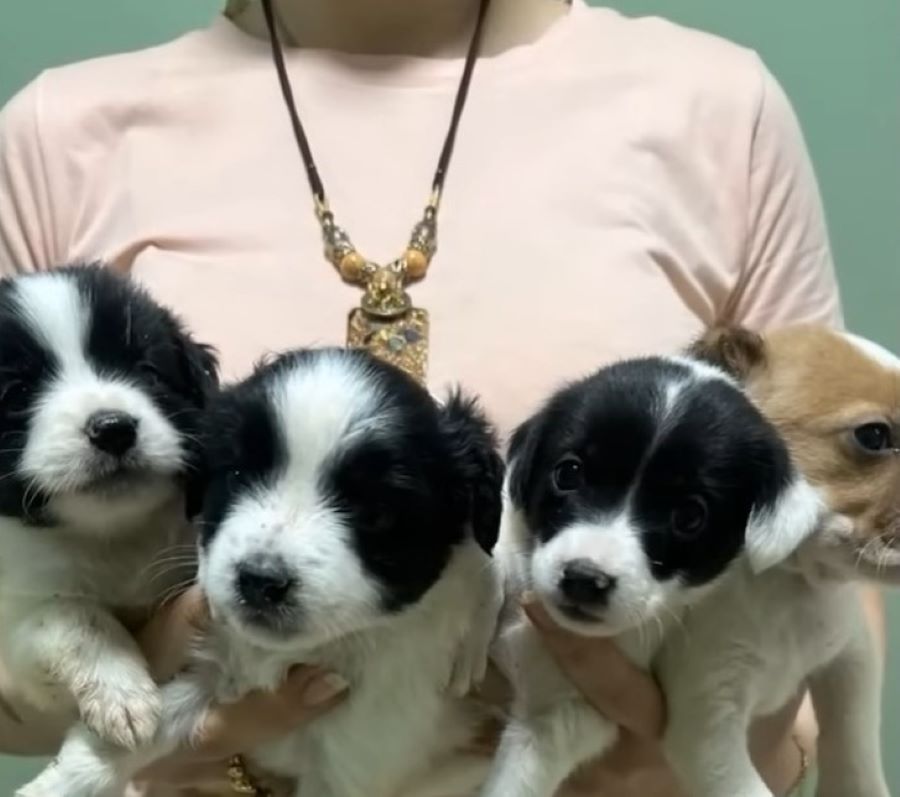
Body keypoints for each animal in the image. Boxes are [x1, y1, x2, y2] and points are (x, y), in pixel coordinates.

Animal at [0, 268, 217, 752]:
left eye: (147, 372)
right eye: (17, 392)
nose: (113, 428)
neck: (114, 532)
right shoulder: (14, 621)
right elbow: (72, 614)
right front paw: (121, 692)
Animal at [24, 346, 506, 796]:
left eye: (377, 513)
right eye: (237, 473)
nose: (259, 581)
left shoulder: (354, 761)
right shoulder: (217, 666)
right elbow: (165, 714)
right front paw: (67, 777)